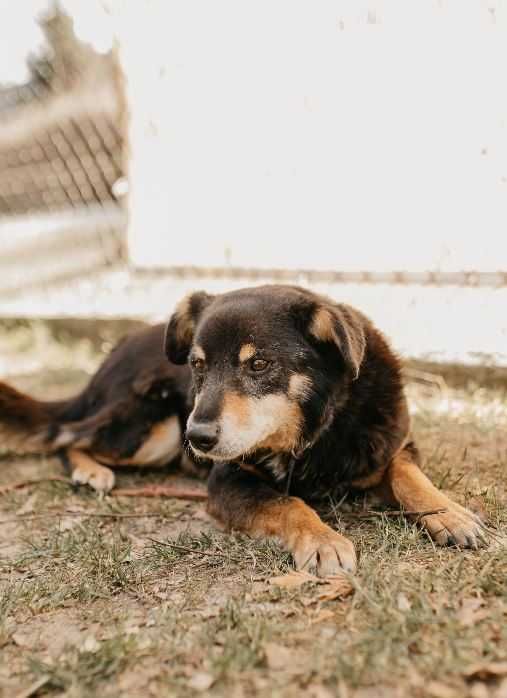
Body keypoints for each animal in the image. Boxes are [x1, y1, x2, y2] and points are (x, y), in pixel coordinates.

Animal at [0, 286, 488, 572]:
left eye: (258, 364)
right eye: (197, 365)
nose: (197, 440)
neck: (312, 434)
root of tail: (111, 355)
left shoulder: (393, 443)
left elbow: (408, 475)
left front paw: (449, 513)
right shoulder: (227, 481)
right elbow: (289, 502)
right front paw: (323, 539)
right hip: (153, 429)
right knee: (65, 435)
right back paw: (90, 471)